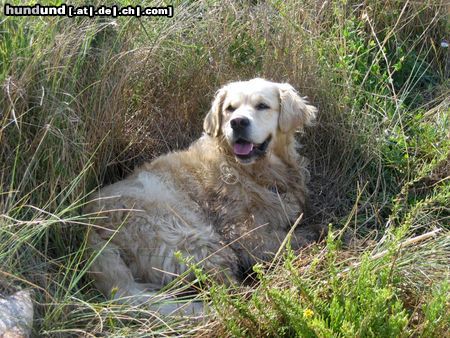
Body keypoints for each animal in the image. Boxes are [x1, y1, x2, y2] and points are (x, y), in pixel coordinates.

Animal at [85, 77, 320, 314]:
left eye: (262, 105)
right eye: (230, 108)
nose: (237, 122)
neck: (250, 171)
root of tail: (90, 229)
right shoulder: (242, 233)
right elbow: (293, 238)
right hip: (193, 237)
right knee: (226, 290)